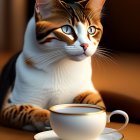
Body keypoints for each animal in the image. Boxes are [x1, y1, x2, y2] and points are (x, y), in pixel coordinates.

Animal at [0, 0, 105, 131]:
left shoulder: (87, 87)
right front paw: (46, 117)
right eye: (66, 29)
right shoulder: (7, 106)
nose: (85, 45)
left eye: (91, 30)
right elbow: (23, 109)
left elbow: (94, 98)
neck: (61, 66)